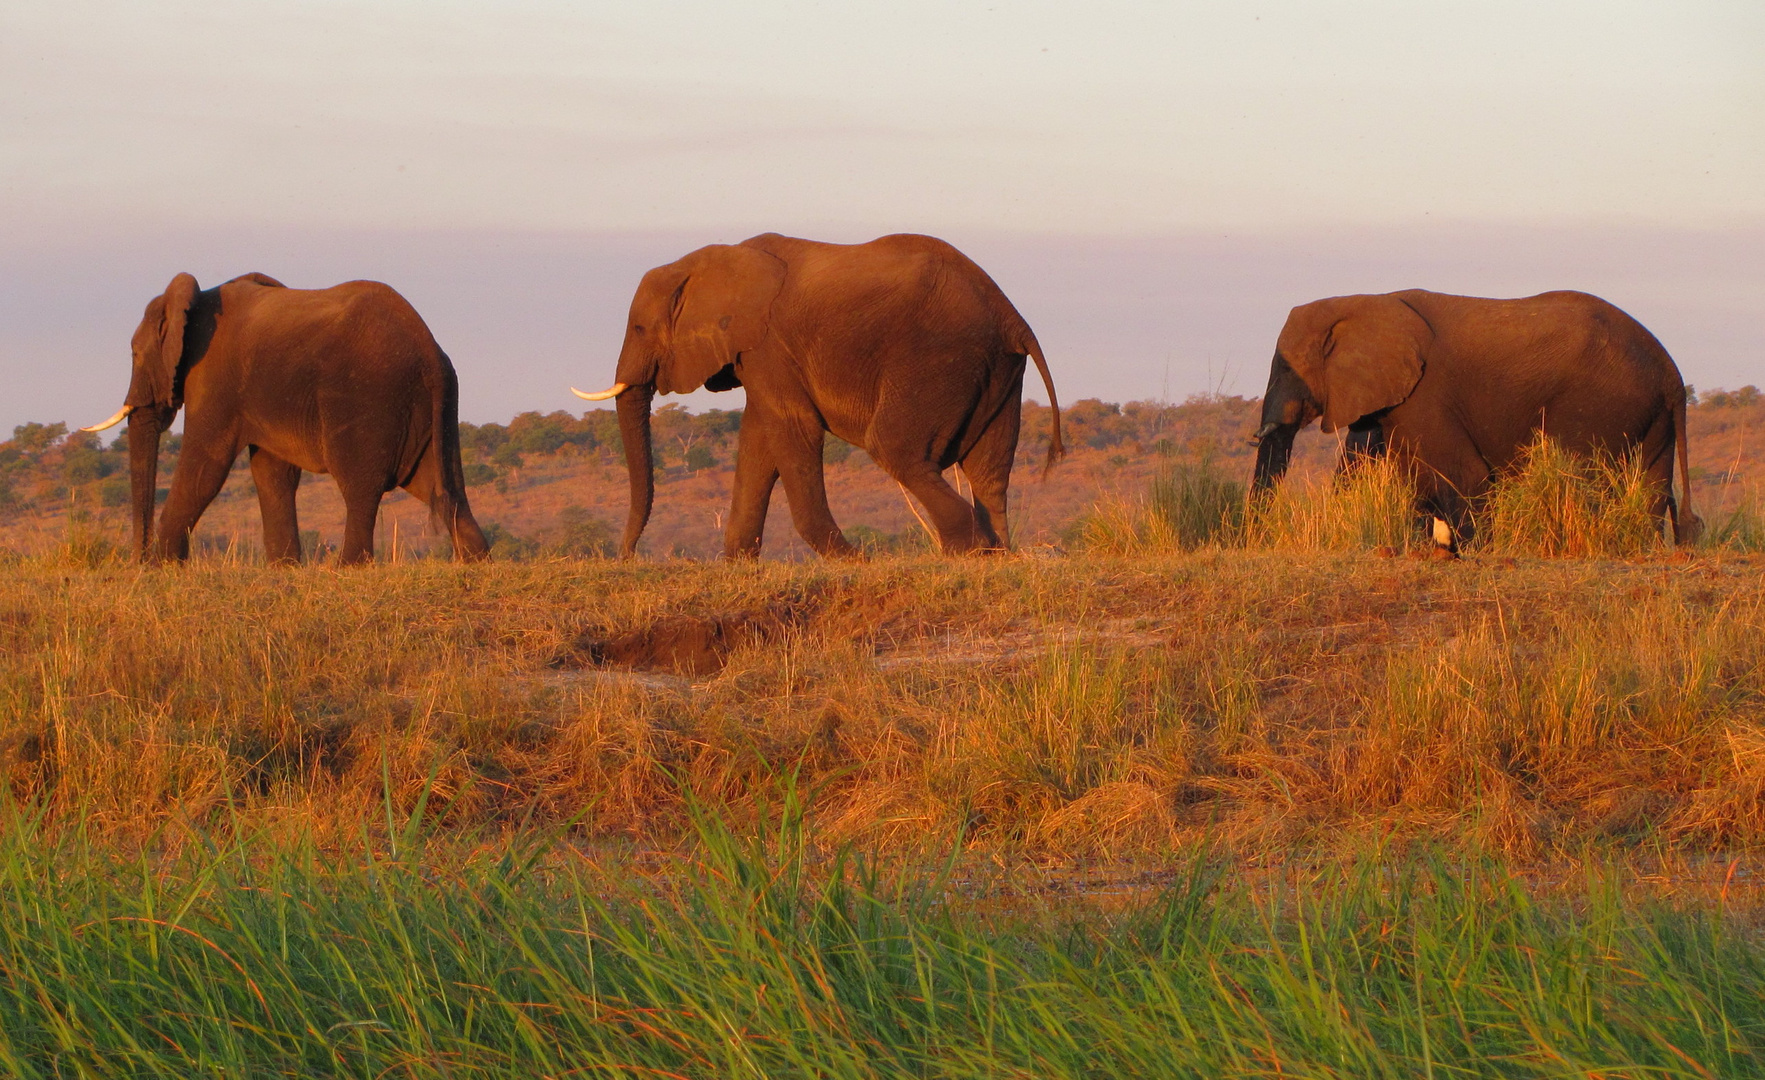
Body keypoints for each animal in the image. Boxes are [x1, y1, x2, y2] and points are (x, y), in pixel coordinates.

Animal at [84, 271, 490, 564]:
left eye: (135, 354)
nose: (137, 560)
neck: (194, 301)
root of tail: (429, 351)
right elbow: (272, 473)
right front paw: (284, 569)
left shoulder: (213, 377)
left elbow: (205, 469)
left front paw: (162, 567)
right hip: (433, 411)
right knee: (441, 487)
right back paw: (475, 562)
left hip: (370, 399)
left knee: (361, 486)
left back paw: (348, 569)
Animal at [571, 232, 1059, 561]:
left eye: (638, 328)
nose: (626, 556)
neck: (702, 262)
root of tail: (1013, 318)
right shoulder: (756, 355)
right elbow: (757, 441)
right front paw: (738, 567)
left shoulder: (767, 344)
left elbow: (792, 429)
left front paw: (854, 562)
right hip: (999, 370)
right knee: (989, 471)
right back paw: (996, 552)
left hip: (940, 358)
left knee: (897, 449)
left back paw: (966, 551)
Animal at [1249, 287, 1701, 543]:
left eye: (1285, 368)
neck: (1360, 302)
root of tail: (1673, 375)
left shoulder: (1426, 393)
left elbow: (1463, 474)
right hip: (1649, 414)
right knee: (1650, 486)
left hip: (1598, 405)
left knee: (1586, 480)